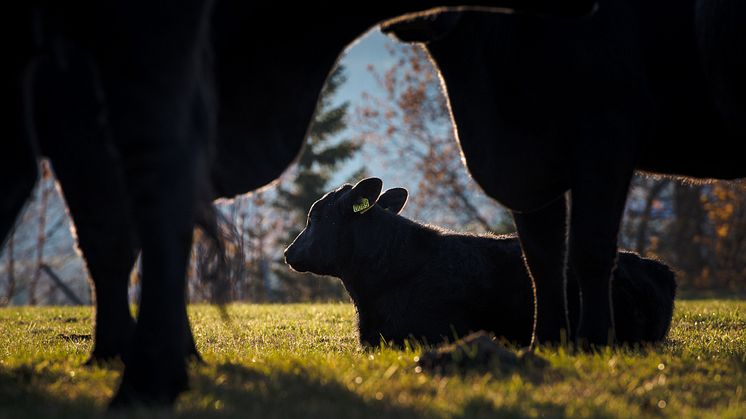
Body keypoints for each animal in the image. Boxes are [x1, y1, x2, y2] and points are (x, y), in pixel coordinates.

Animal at [384, 1, 744, 346]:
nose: (424, 17)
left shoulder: (606, 140)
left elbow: (590, 248)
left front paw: (593, 339)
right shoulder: (529, 168)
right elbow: (542, 257)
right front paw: (545, 339)